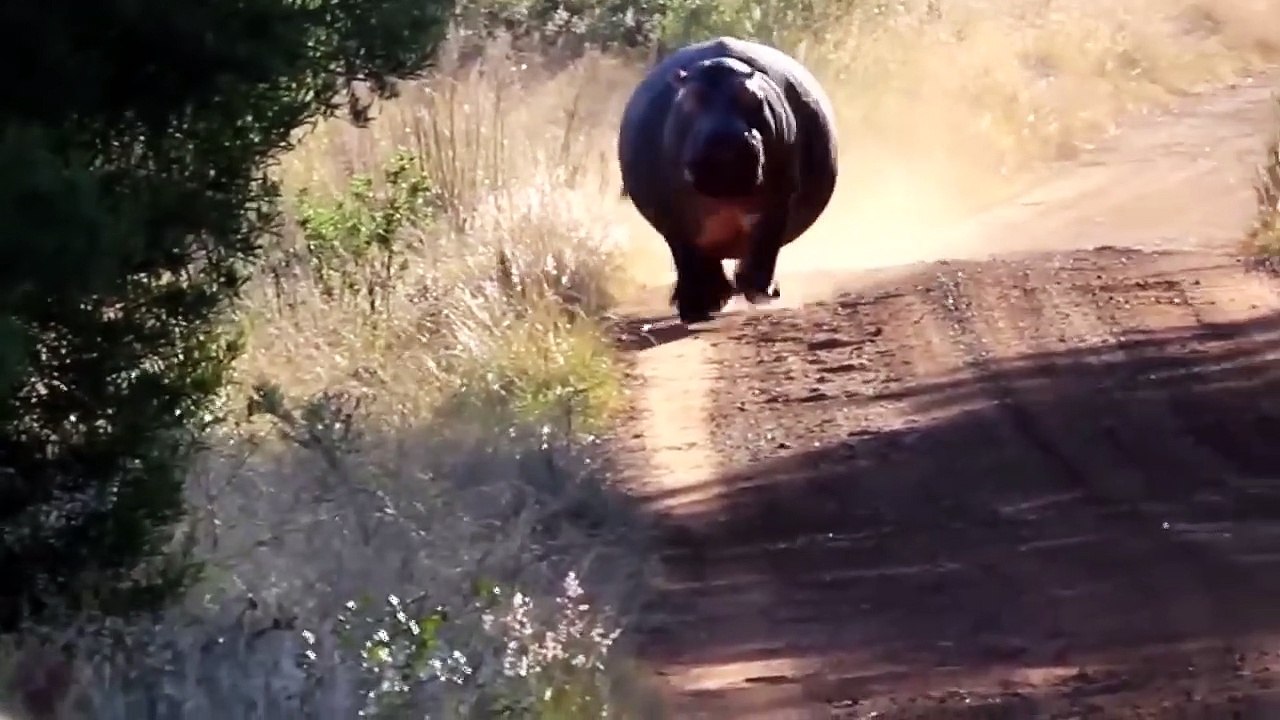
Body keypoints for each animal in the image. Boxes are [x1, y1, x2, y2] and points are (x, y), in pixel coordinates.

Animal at [618, 36, 838, 324]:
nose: (725, 139)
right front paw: (699, 307)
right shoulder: (673, 216)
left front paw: (757, 291)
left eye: (753, 97)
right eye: (692, 97)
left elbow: (764, 243)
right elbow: (690, 258)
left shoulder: (777, 200)